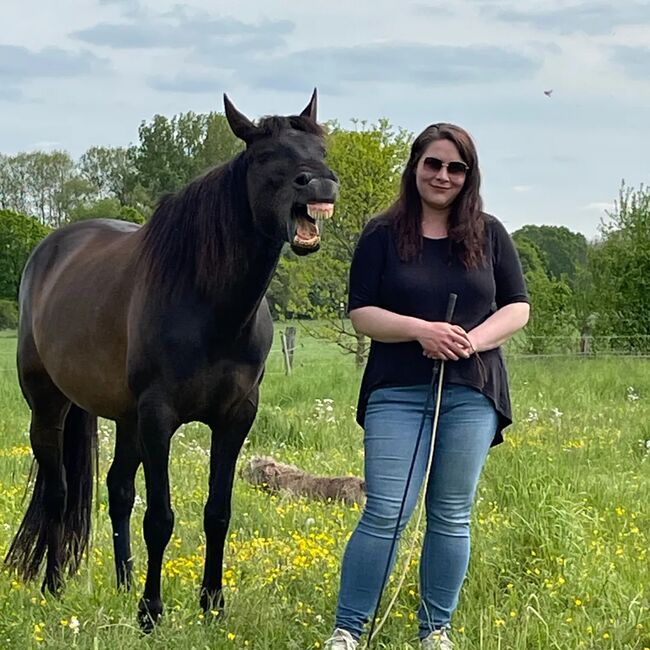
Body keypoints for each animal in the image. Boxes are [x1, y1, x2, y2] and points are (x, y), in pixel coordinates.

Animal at [3, 88, 340, 624]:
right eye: (266, 155)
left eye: (321, 150)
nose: (322, 186)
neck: (210, 304)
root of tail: (48, 251)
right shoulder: (159, 417)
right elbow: (160, 518)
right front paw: (151, 612)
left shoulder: (235, 417)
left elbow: (217, 512)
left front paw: (212, 604)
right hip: (50, 407)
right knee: (58, 493)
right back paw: (54, 586)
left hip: (124, 420)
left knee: (118, 489)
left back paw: (122, 583)